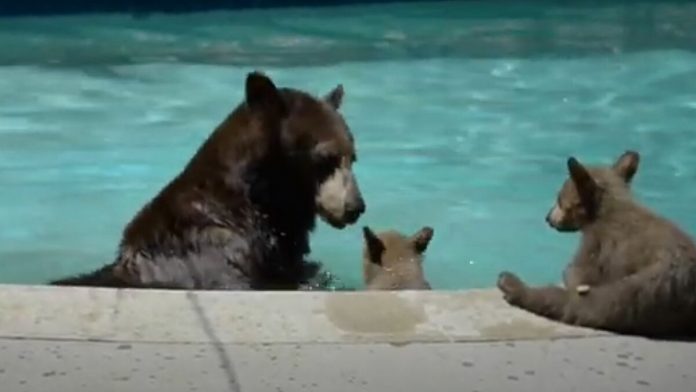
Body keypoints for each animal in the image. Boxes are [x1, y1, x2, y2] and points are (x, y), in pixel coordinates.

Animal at [494, 150, 696, 336]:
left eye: (559, 199)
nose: (547, 218)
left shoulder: (595, 243)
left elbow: (577, 272)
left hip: (642, 290)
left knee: (579, 304)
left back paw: (512, 284)